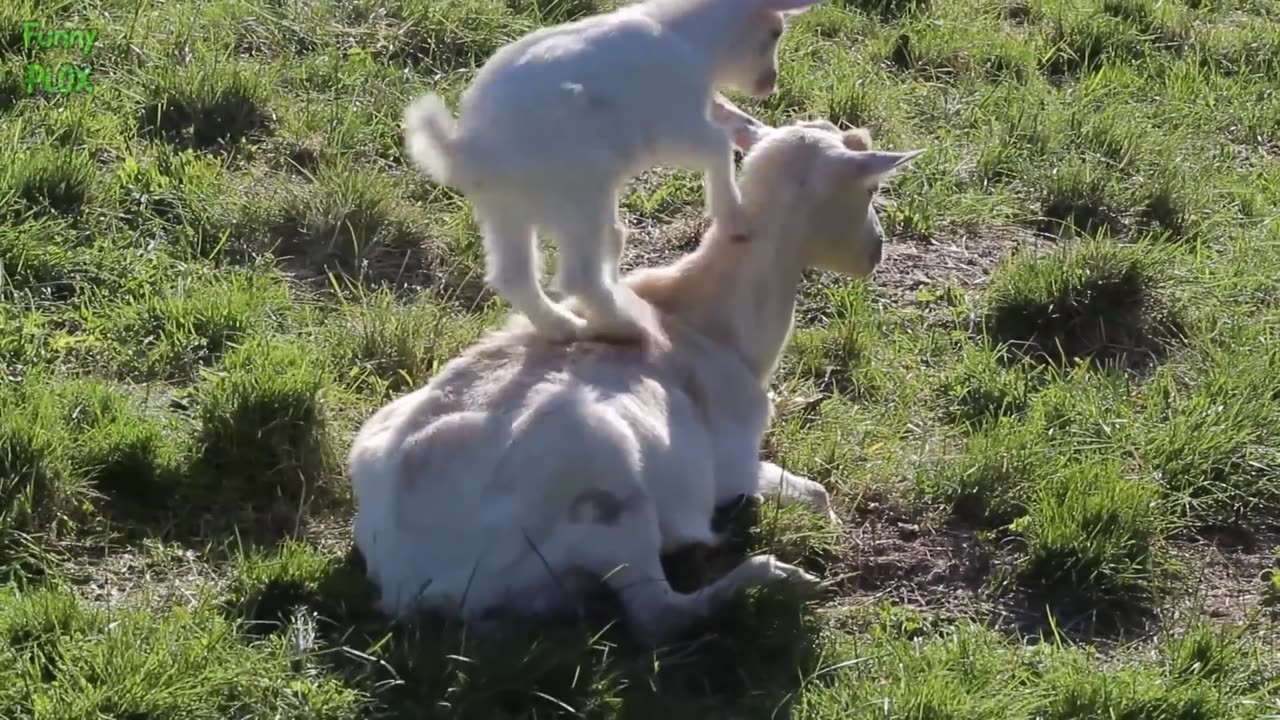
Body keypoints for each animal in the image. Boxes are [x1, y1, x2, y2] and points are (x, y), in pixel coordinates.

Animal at [354, 98, 925, 644]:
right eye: (871, 188)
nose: (876, 251)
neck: (708, 325)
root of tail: (409, 577)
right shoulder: (732, 466)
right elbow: (815, 492)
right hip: (610, 492)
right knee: (656, 616)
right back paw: (777, 577)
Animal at [403, 0, 822, 345]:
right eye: (775, 33)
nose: (770, 83)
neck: (691, 38)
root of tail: (466, 149)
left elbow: (727, 120)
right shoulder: (677, 125)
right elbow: (718, 146)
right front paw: (734, 218)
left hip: (506, 213)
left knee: (514, 275)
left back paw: (564, 328)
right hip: (578, 199)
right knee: (578, 276)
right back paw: (625, 327)